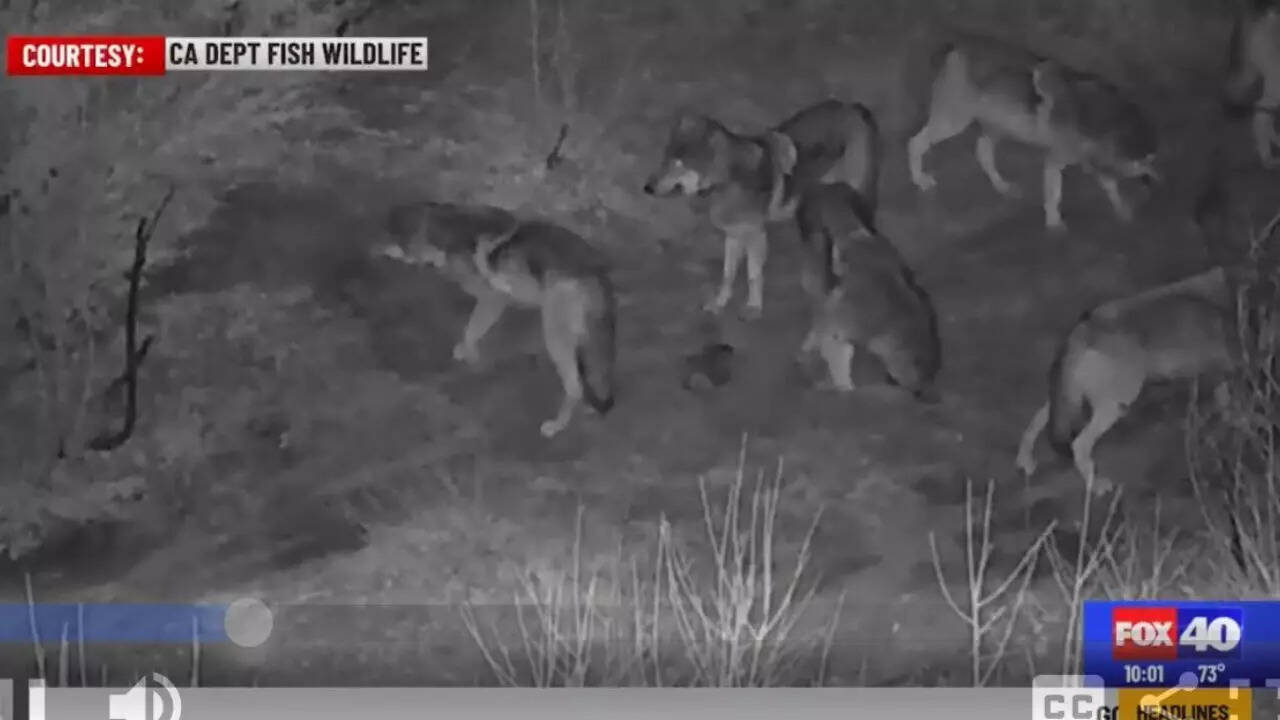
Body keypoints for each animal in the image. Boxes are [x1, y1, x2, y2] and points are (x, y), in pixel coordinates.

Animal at [372, 201, 616, 438]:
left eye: (389, 233)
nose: (374, 245)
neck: (441, 223)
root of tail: (595, 274)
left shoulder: (492, 298)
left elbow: (471, 330)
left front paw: (469, 353)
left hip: (554, 333)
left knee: (575, 386)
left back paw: (558, 424)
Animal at [643, 99, 882, 319]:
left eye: (678, 164)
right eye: (665, 159)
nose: (646, 188)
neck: (726, 181)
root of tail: (853, 106)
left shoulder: (755, 235)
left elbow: (753, 275)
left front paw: (753, 308)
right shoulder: (733, 235)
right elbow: (727, 275)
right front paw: (719, 304)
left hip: (856, 197)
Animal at [793, 183, 942, 401]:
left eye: (931, 375)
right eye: (924, 377)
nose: (927, 394)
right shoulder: (844, 328)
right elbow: (837, 356)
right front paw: (843, 386)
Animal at [906, 32, 1160, 232]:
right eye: (1146, 163)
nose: (1157, 182)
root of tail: (955, 46)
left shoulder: (1093, 162)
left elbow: (1111, 187)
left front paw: (1123, 210)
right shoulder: (1055, 161)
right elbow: (1054, 196)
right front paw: (1054, 223)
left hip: (996, 128)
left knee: (983, 152)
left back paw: (1002, 186)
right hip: (953, 122)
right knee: (915, 143)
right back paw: (920, 180)